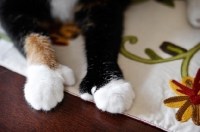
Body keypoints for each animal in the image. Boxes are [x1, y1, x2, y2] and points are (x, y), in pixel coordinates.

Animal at [0, 0, 135, 113]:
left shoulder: (102, 4)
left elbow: (103, 39)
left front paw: (109, 84)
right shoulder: (10, 8)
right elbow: (33, 37)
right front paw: (45, 77)